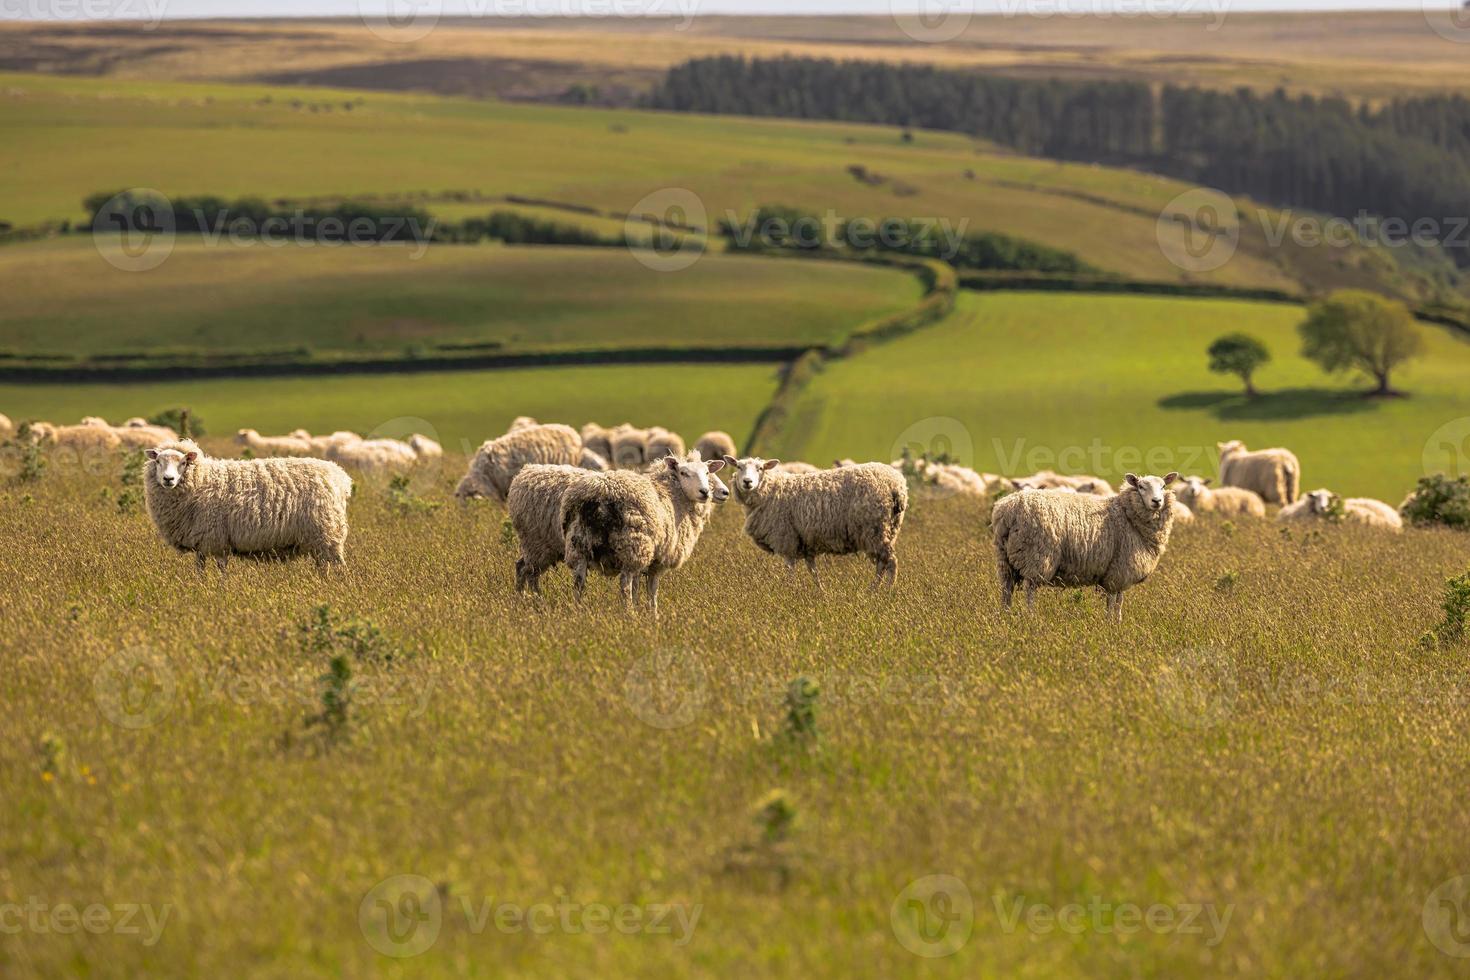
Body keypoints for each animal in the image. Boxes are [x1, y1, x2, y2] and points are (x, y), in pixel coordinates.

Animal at [141, 440, 354, 570]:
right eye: (158, 461)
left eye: (184, 462)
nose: (168, 479)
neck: (202, 480)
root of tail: (339, 476)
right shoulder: (202, 541)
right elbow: (200, 568)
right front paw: (200, 587)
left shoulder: (216, 537)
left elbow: (221, 568)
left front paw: (220, 591)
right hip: (317, 538)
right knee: (323, 566)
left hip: (327, 531)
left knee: (338, 566)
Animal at [558, 452, 726, 614]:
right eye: (683, 473)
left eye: (707, 472)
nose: (705, 492)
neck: (674, 495)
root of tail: (599, 492)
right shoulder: (657, 562)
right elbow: (652, 590)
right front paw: (653, 614)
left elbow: (637, 587)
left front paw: (641, 609)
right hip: (632, 547)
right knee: (624, 585)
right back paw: (629, 614)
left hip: (579, 546)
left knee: (579, 584)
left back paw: (578, 612)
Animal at [723, 455, 905, 590]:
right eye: (738, 467)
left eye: (760, 468)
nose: (747, 482)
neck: (771, 490)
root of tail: (896, 484)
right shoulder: (805, 541)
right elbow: (813, 570)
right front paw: (820, 591)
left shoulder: (786, 538)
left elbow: (790, 568)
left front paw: (789, 590)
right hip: (888, 529)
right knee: (883, 563)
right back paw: (876, 589)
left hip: (874, 529)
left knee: (890, 562)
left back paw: (884, 591)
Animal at [987, 473, 1181, 625]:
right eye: (1141, 486)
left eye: (1163, 486)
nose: (1157, 501)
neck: (1128, 514)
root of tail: (1007, 511)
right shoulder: (1119, 569)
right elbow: (1113, 600)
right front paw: (1110, 623)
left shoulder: (1120, 571)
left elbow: (1118, 600)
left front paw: (1117, 622)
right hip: (1036, 556)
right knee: (1029, 588)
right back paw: (1030, 617)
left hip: (1004, 559)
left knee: (1006, 588)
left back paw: (1005, 616)